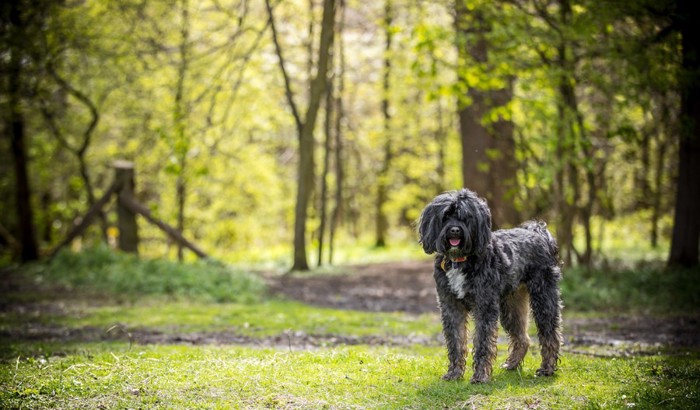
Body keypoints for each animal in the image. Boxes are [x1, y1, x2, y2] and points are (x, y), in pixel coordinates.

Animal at [418, 189, 560, 384]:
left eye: (466, 217)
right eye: (446, 216)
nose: (454, 230)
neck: (460, 260)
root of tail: (539, 234)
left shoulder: (484, 306)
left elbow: (483, 342)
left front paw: (480, 375)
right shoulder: (451, 306)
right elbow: (456, 342)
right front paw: (454, 373)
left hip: (543, 299)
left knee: (550, 334)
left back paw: (547, 368)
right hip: (511, 306)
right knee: (522, 338)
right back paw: (512, 364)